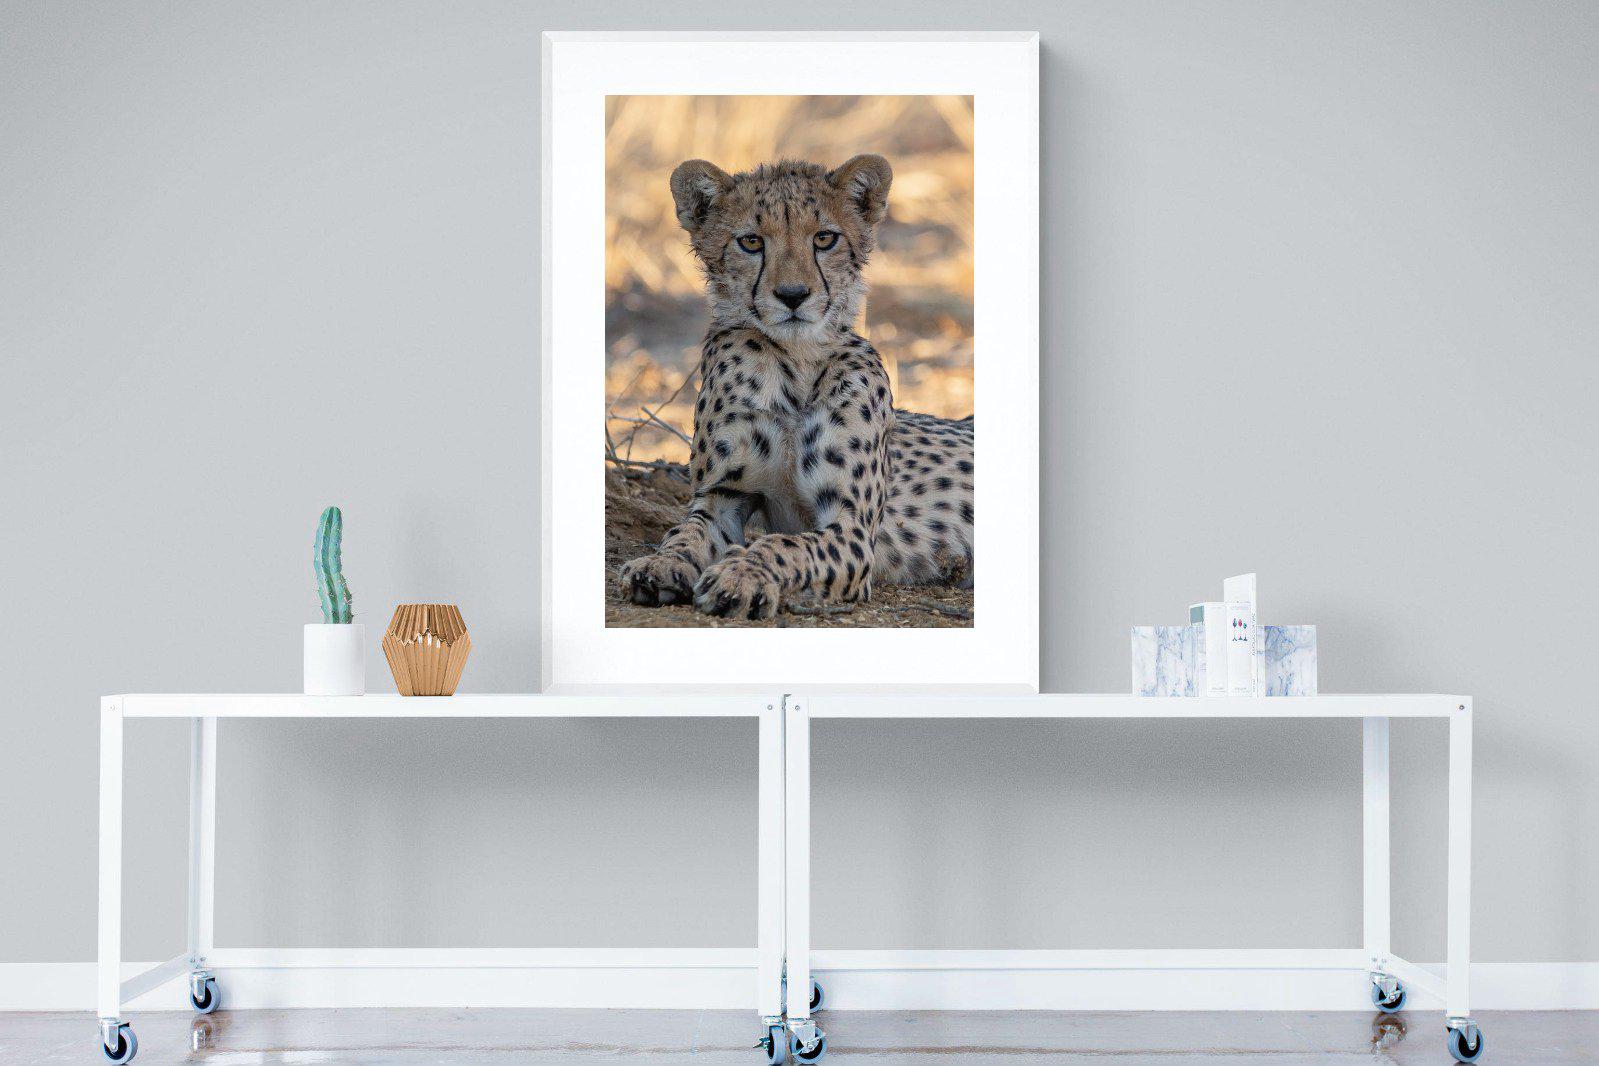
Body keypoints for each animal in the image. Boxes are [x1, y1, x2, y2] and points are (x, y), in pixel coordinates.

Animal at [618, 154, 975, 621]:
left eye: (824, 238)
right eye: (751, 242)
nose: (792, 295)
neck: (796, 364)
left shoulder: (852, 528)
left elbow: (784, 544)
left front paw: (741, 575)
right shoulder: (722, 496)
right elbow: (685, 532)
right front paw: (659, 564)